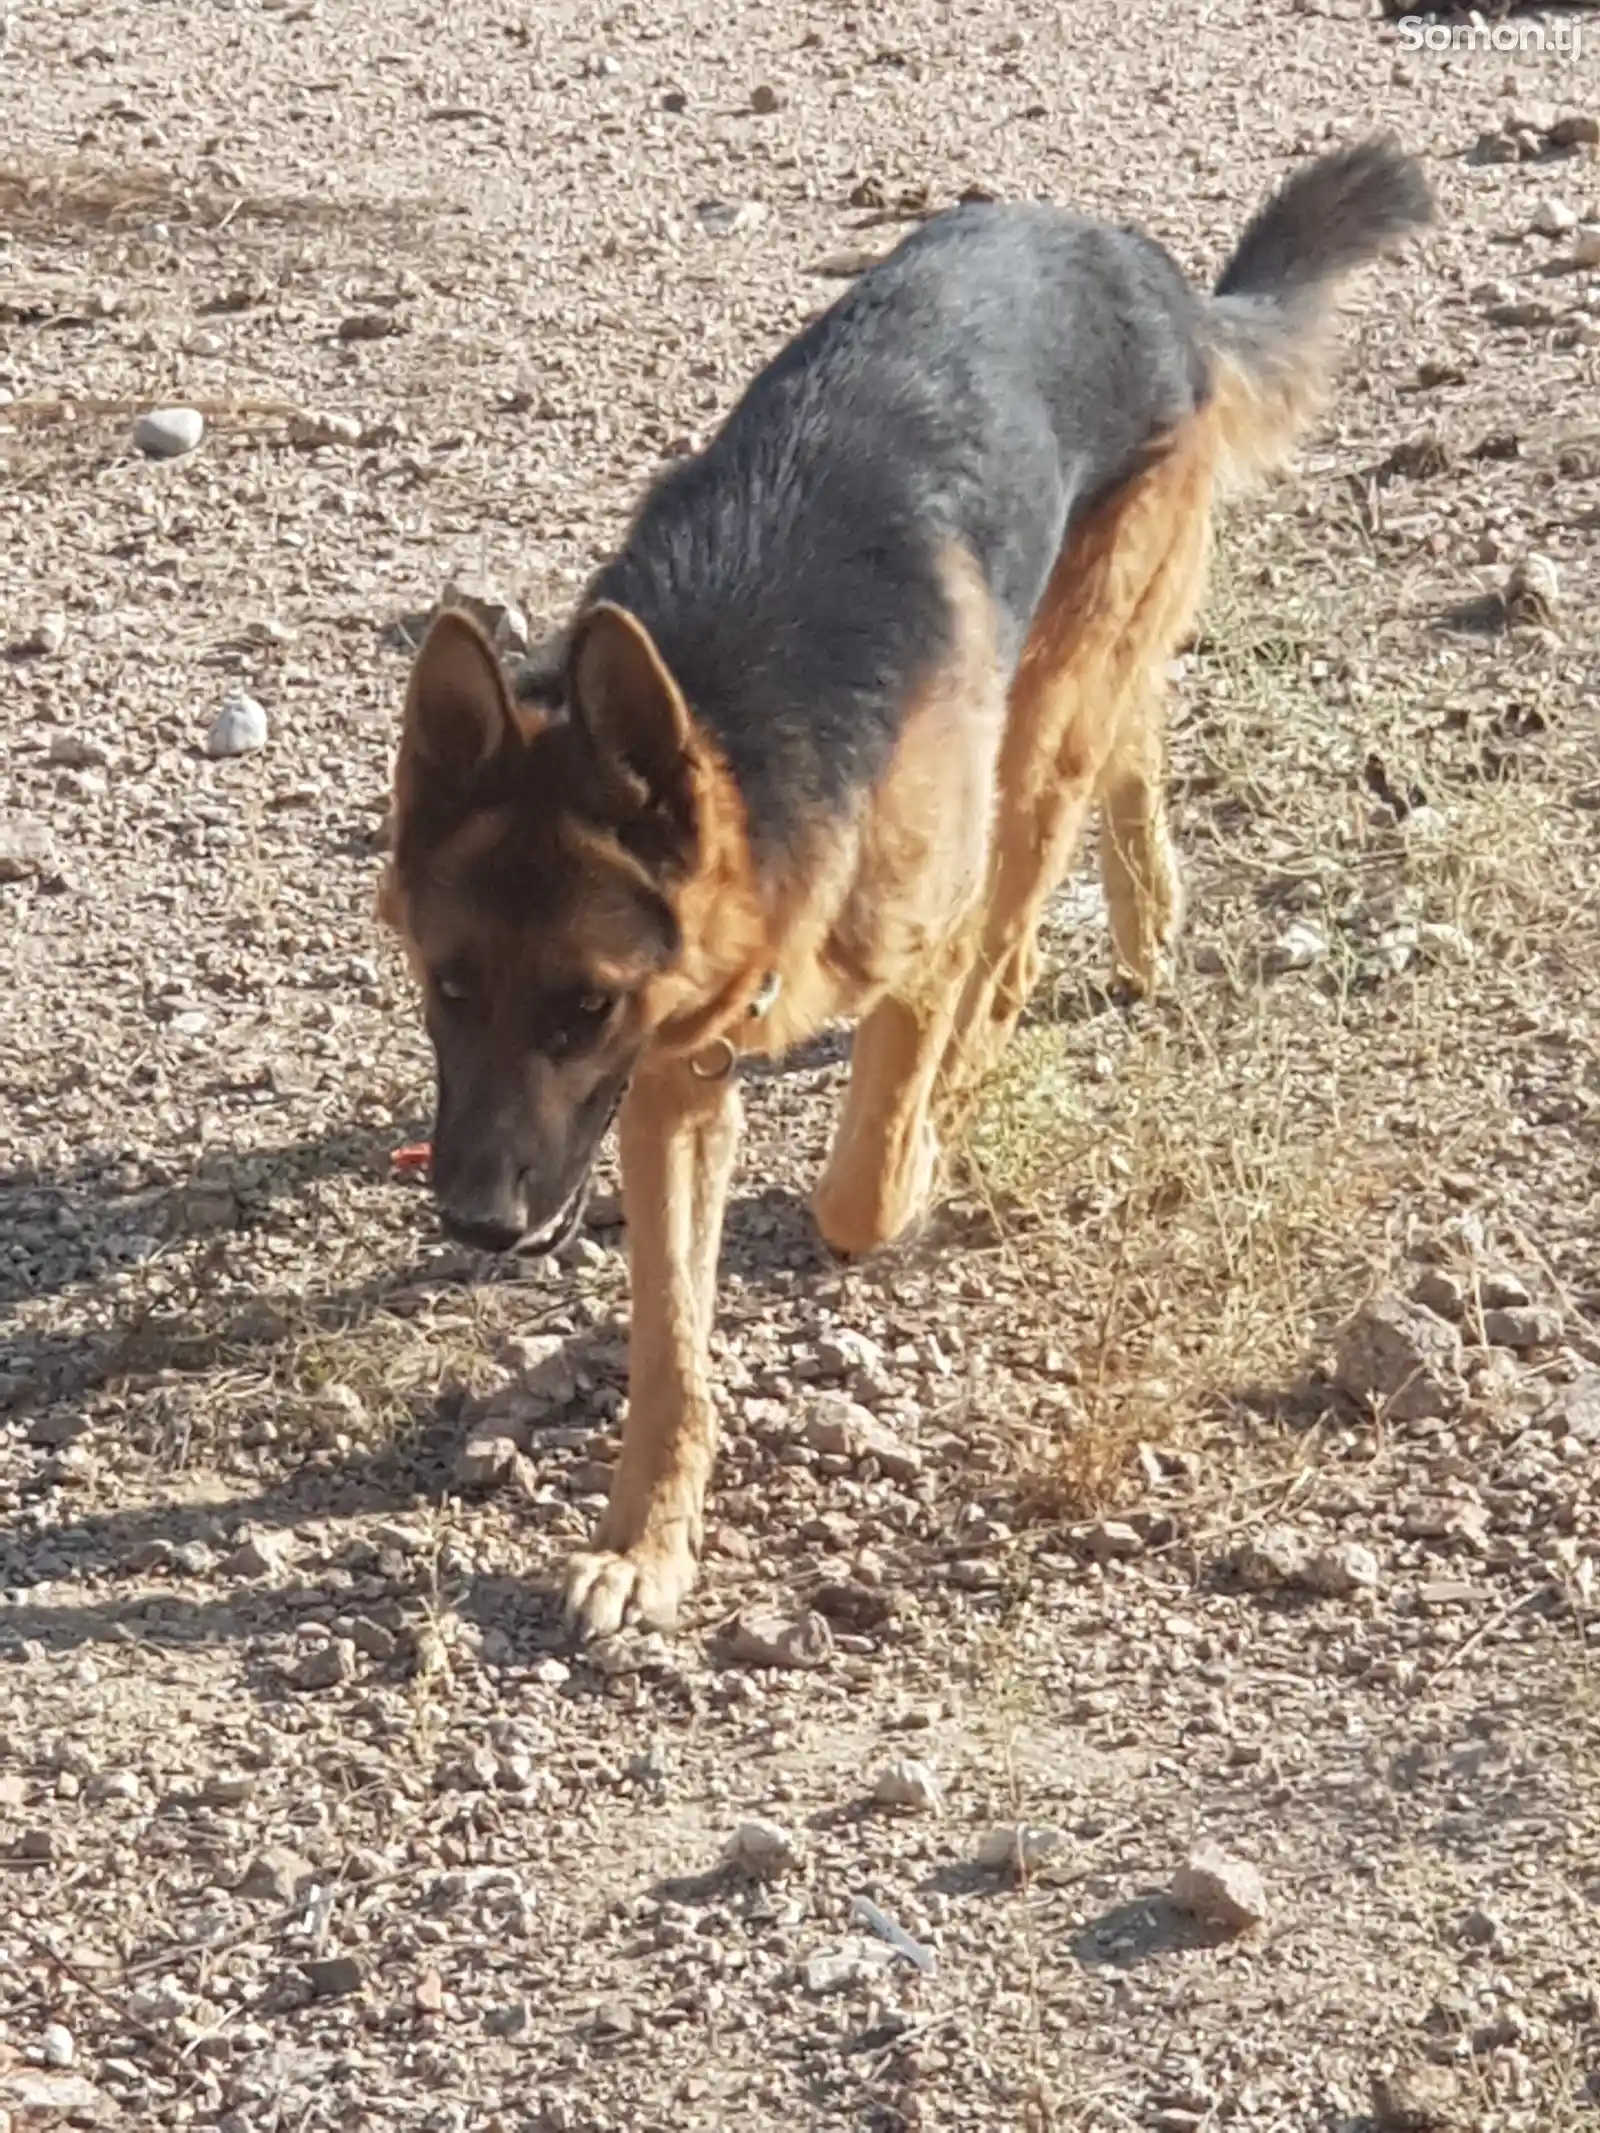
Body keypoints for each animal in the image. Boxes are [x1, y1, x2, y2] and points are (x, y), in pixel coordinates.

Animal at [388, 146, 1442, 1629]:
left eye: (581, 1006)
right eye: (448, 986)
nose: (476, 1225)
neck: (737, 711)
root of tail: (1154, 277)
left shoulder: (880, 960)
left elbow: (865, 1184)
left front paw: (924, 1153)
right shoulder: (672, 1082)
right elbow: (669, 1345)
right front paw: (648, 1542)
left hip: (1035, 726)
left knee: (1030, 903)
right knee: (1136, 725)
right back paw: (1148, 919)